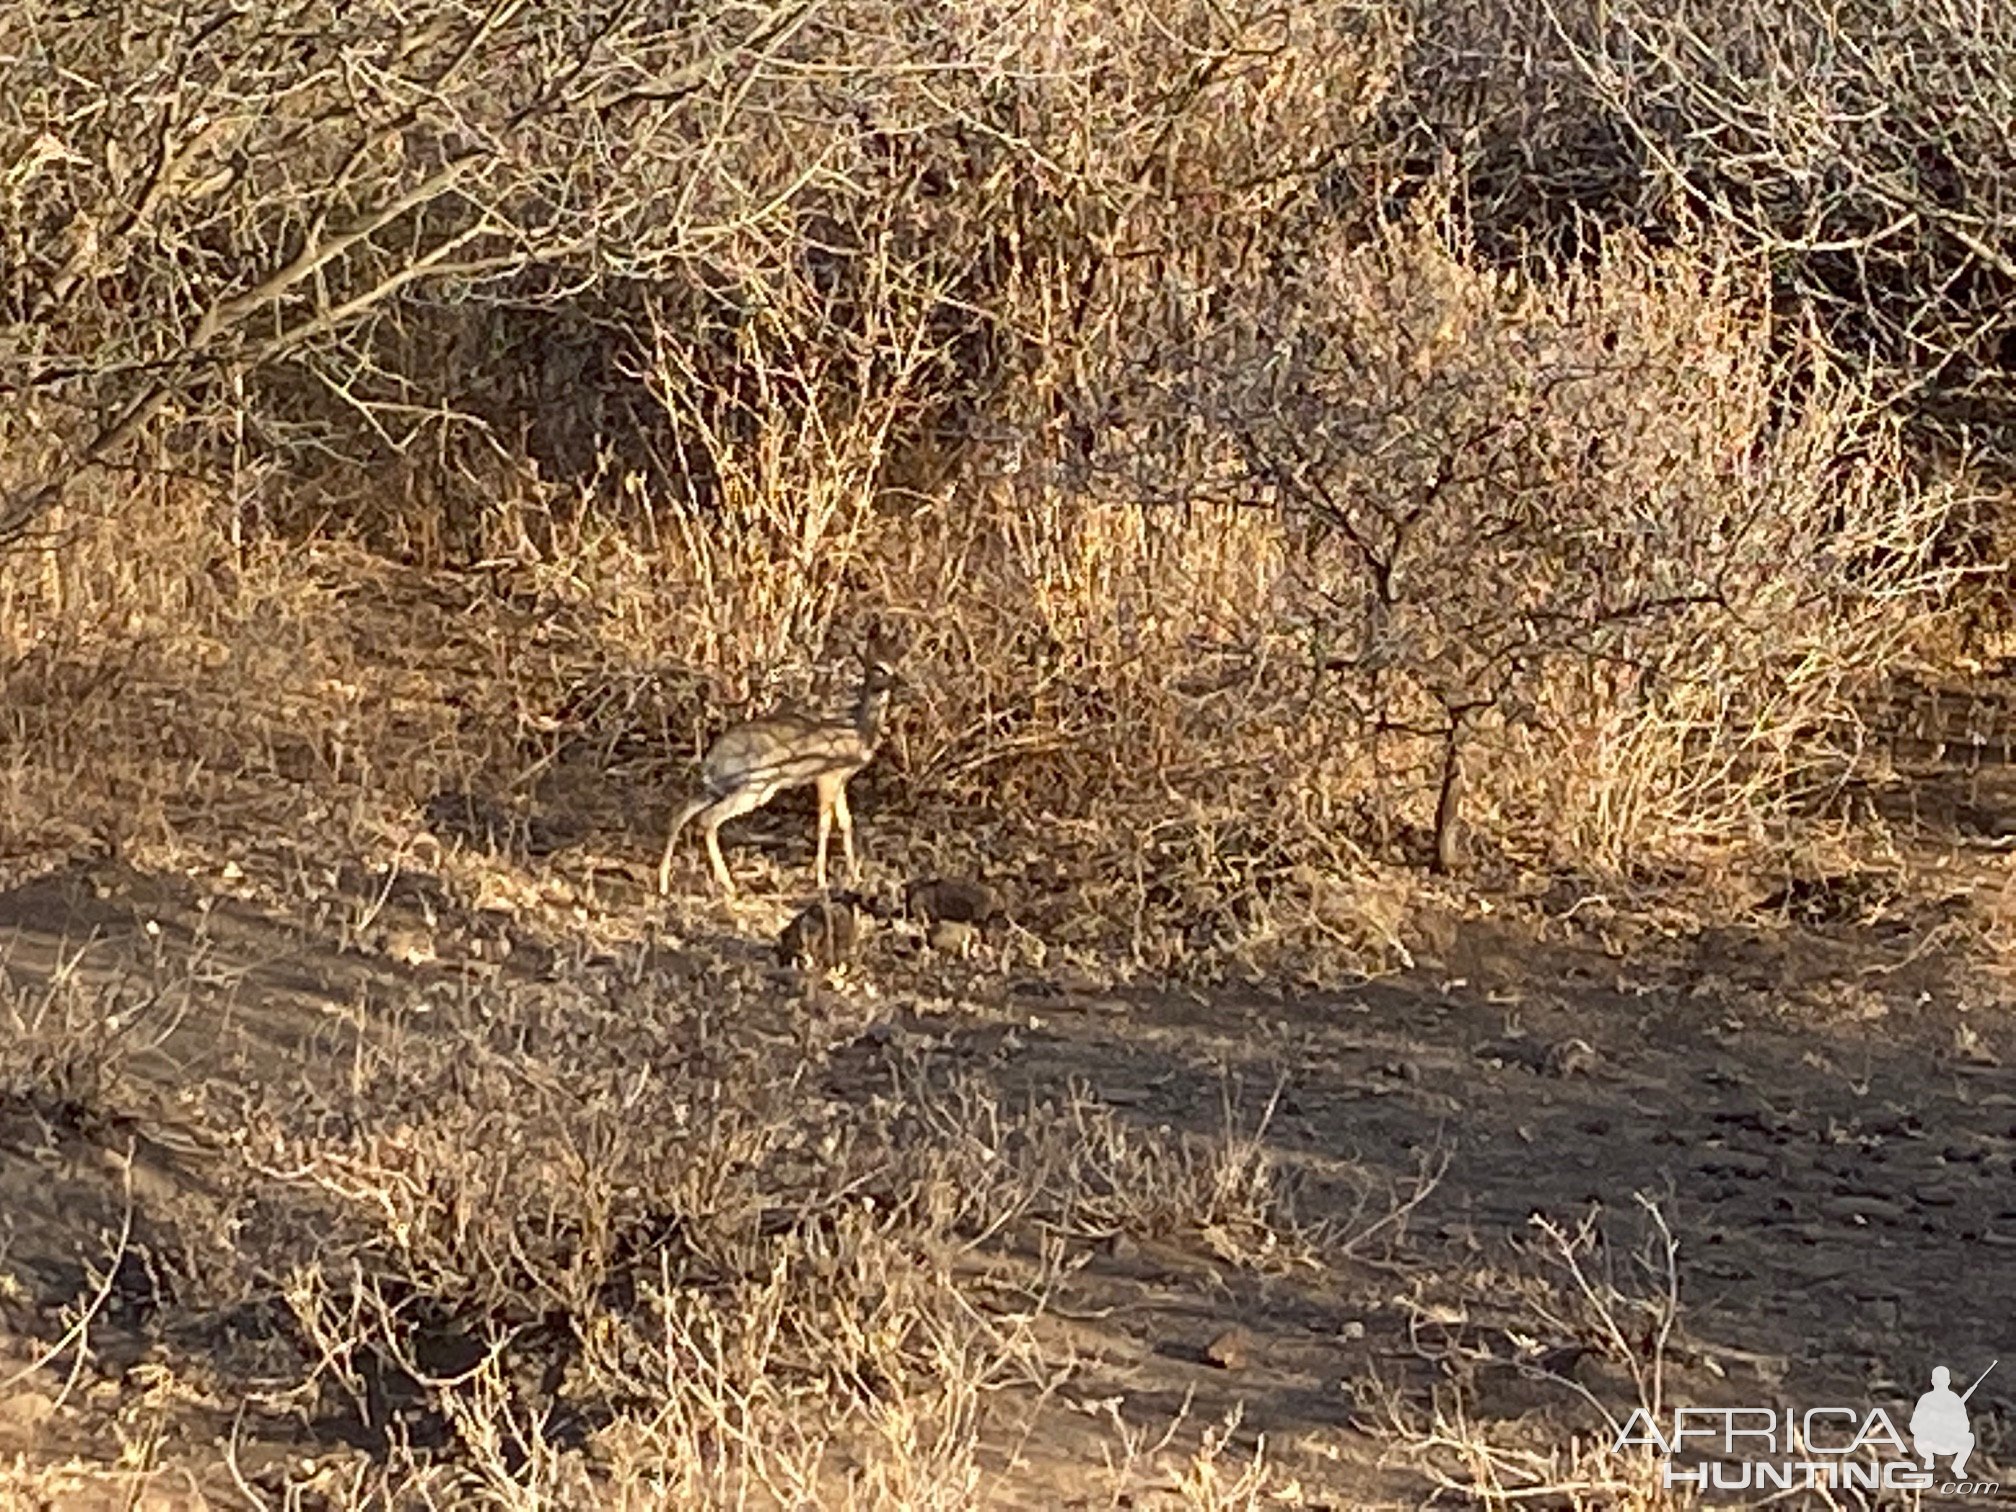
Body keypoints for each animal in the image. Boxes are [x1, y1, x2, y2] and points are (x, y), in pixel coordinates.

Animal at [657, 628, 903, 899]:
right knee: (708, 819)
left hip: (720, 787)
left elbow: (846, 822)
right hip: (754, 788)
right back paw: (730, 886)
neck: (859, 730)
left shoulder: (842, 779)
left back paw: (665, 884)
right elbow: (824, 825)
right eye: (878, 668)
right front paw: (821, 881)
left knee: (681, 811)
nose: (898, 682)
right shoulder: (826, 777)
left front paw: (855, 877)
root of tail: (713, 756)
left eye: (896, 662)